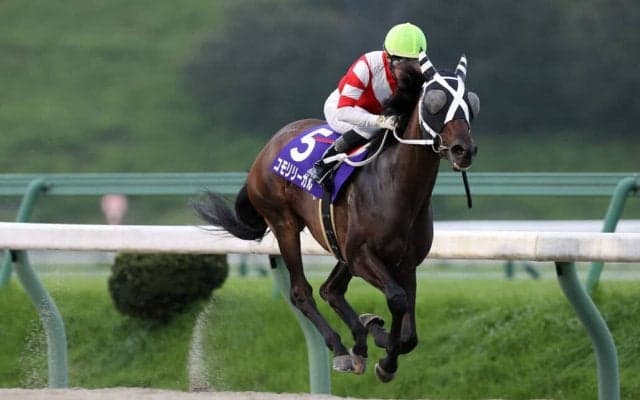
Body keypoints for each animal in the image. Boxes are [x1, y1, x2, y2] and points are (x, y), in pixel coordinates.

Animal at [193, 51, 479, 382]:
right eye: (435, 102)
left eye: (471, 103)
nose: (463, 150)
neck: (395, 186)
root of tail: (266, 150)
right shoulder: (362, 254)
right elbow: (396, 299)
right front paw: (385, 360)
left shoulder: (405, 261)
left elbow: (409, 332)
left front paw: (380, 342)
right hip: (285, 225)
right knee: (302, 291)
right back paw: (342, 348)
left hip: (340, 245)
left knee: (330, 289)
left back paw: (362, 336)